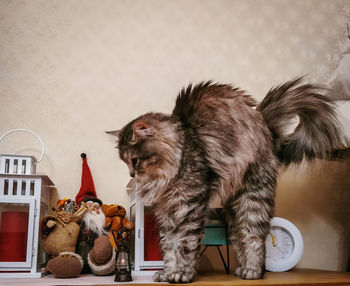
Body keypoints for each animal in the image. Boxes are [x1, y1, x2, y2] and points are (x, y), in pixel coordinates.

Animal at [108, 77, 340, 282]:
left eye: (134, 160)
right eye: (125, 162)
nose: (131, 175)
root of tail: (264, 123)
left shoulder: (188, 205)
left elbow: (184, 245)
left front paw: (182, 274)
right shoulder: (166, 212)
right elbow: (169, 248)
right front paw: (167, 273)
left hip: (253, 198)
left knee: (256, 238)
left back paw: (254, 272)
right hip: (234, 208)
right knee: (240, 238)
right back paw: (242, 269)